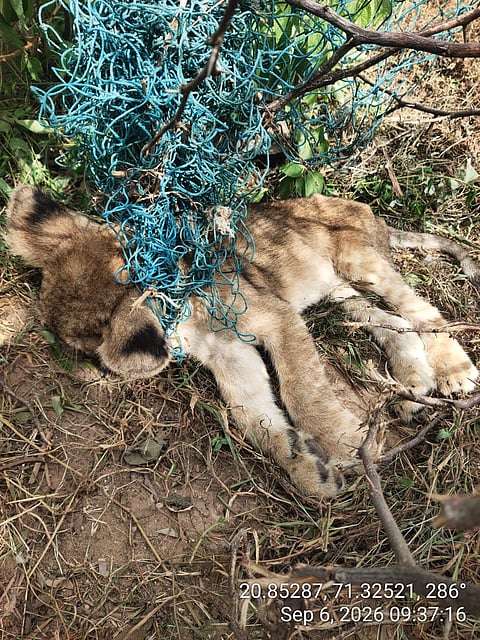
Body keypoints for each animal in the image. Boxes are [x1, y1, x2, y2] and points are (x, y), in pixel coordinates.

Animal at [5, 185, 479, 497]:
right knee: (388, 320)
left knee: (420, 310)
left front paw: (344, 441)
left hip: (359, 260)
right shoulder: (230, 354)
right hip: (337, 291)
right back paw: (413, 384)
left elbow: (302, 388)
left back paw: (453, 372)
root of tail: (372, 211)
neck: (187, 318)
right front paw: (309, 469)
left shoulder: (276, 318)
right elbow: (253, 417)